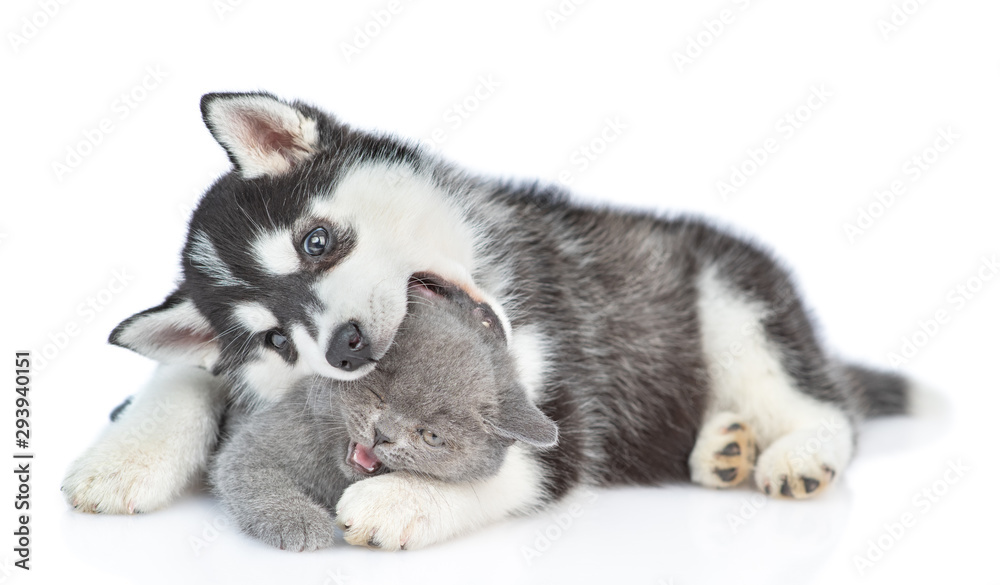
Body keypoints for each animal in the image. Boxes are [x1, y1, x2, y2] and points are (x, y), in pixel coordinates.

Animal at [209, 286, 556, 548]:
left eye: (431, 436)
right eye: (378, 395)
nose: (382, 434)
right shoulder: (259, 442)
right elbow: (255, 476)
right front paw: (300, 521)